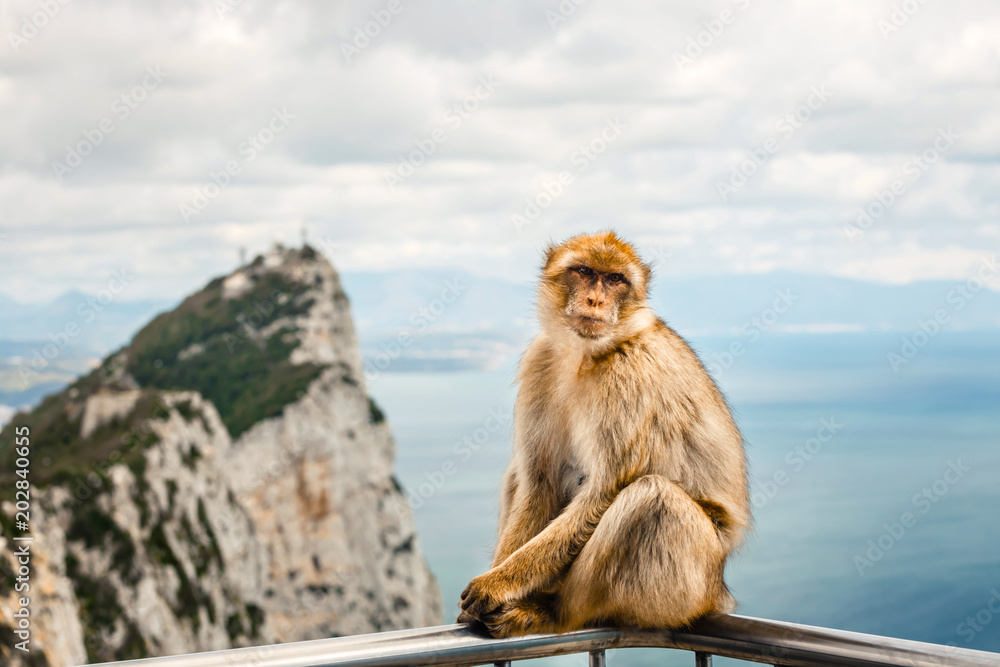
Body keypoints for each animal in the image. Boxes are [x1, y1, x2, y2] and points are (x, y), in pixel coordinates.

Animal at [457, 231, 750, 638]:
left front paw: (496, 585)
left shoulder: (627, 379)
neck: (585, 355)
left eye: (615, 280)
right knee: (521, 473)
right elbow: (539, 483)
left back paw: (554, 611)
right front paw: (497, 582)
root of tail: (719, 591)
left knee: (653, 498)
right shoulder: (541, 361)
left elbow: (603, 494)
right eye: (584, 272)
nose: (595, 300)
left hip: (689, 587)